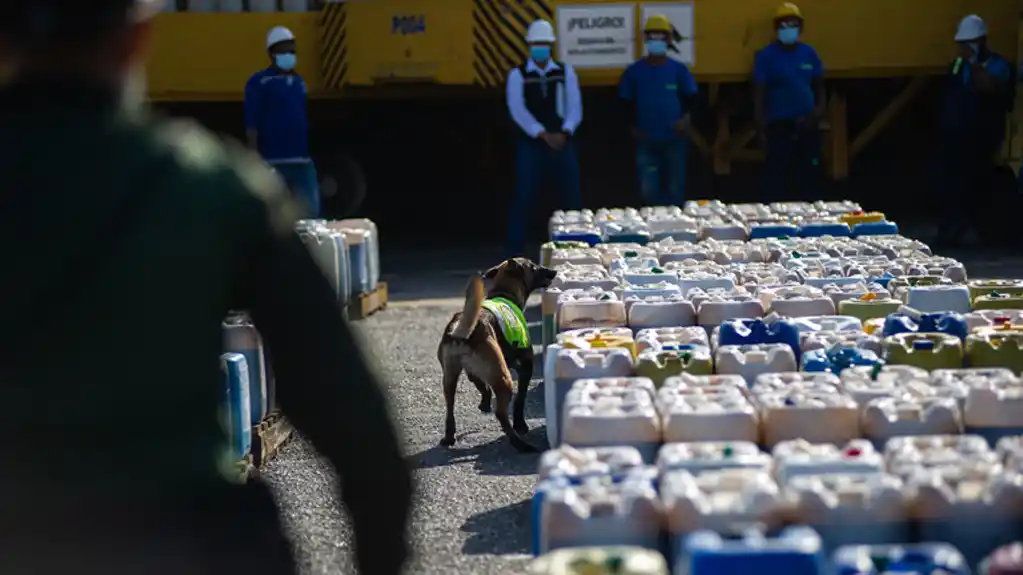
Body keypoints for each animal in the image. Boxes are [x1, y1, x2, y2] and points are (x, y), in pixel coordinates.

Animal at [435, 257, 556, 450]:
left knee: (450, 407)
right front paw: (521, 425)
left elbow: (481, 385)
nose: (553, 272)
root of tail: (461, 331)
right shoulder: (525, 366)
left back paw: (449, 436)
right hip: (504, 378)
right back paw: (519, 443)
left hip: (450, 378)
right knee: (501, 413)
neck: (504, 292)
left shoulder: (472, 371)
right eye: (533, 267)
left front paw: (484, 403)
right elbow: (520, 399)